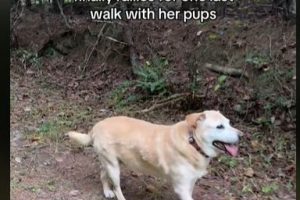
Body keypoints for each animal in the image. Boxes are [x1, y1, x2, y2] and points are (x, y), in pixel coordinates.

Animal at [67, 111, 241, 200]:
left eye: (229, 123)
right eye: (220, 126)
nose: (242, 135)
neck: (192, 142)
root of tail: (96, 126)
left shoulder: (190, 183)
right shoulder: (182, 188)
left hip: (112, 162)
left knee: (103, 175)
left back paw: (107, 192)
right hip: (114, 168)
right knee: (117, 188)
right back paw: (116, 193)